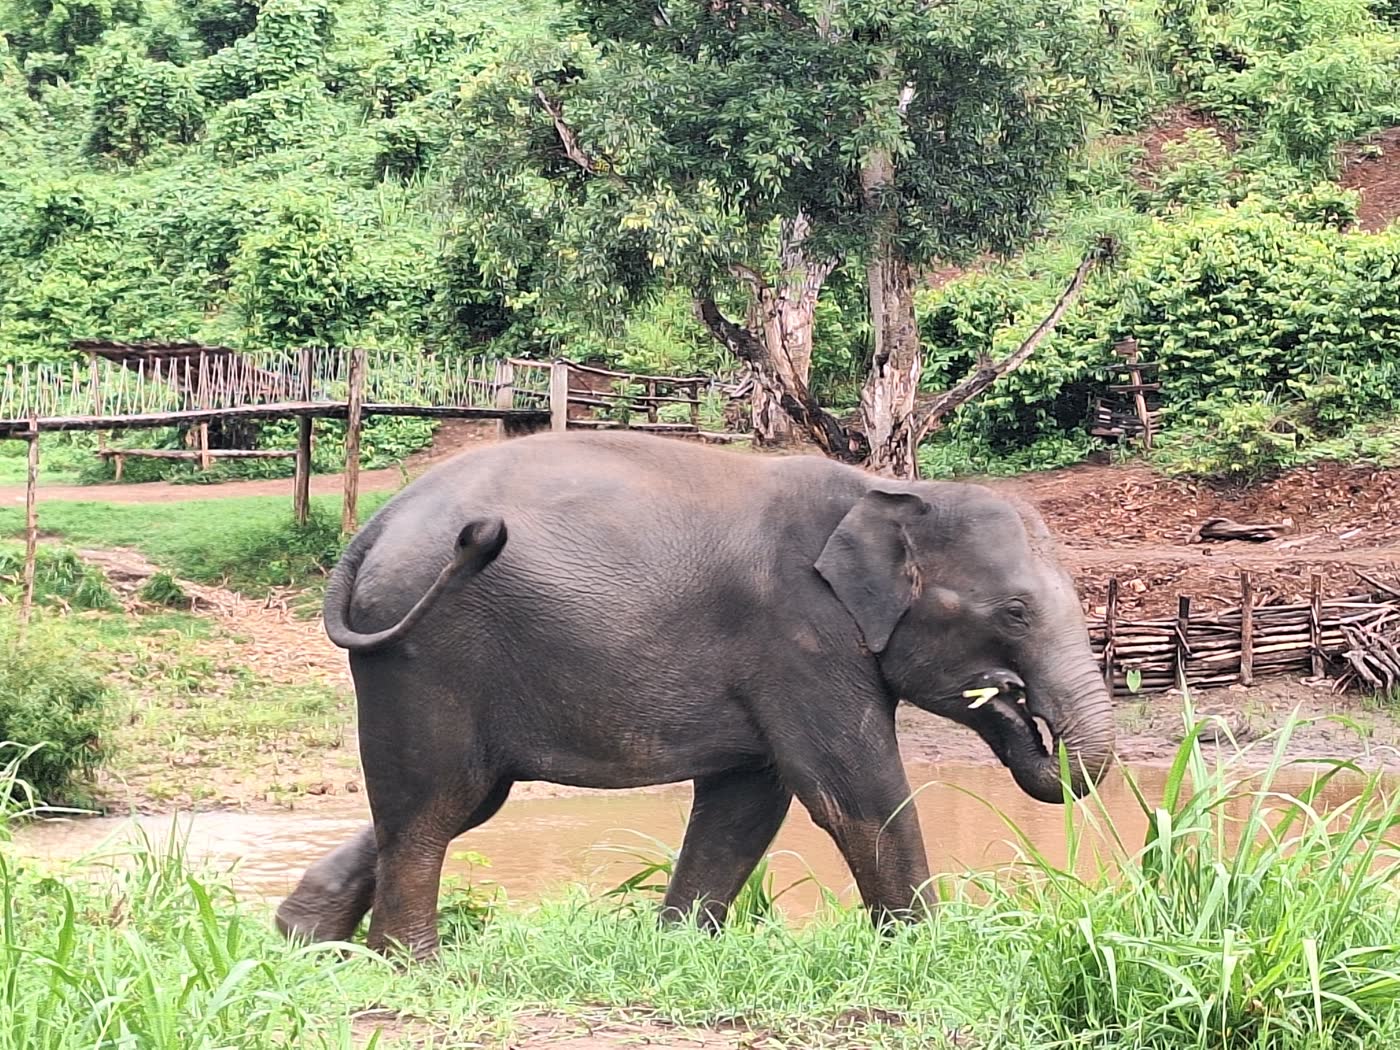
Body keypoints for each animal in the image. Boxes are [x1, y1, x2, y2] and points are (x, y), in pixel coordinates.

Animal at [276, 431, 1114, 959]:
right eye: (1014, 613)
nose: (1010, 697)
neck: (892, 491)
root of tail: (371, 530)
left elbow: (747, 802)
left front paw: (678, 950)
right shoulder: (799, 633)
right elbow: (852, 792)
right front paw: (933, 951)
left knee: (456, 799)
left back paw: (302, 943)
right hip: (428, 651)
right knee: (434, 803)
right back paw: (413, 968)